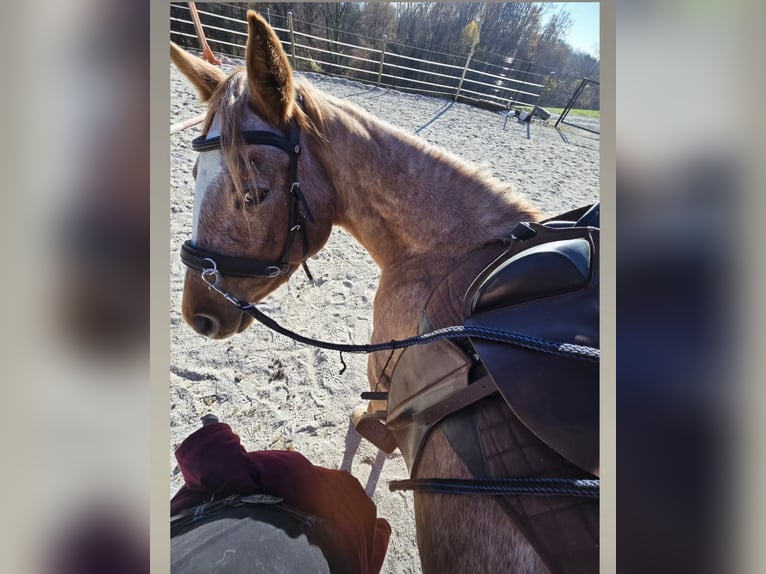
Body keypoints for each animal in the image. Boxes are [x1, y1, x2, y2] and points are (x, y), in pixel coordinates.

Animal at [171, 11, 597, 574]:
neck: (444, 251)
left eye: (253, 194)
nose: (196, 313)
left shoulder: (384, 378)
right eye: (194, 174)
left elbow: (364, 432)